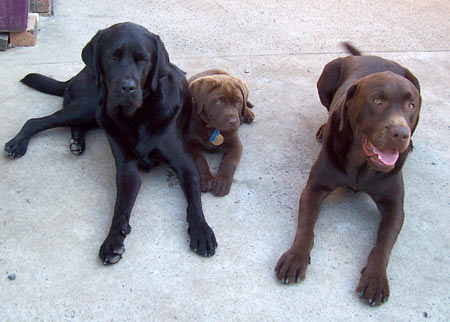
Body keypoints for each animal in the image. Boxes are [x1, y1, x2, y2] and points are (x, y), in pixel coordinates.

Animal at [4, 22, 217, 264]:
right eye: (112, 57)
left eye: (143, 59)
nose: (127, 87)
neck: (138, 116)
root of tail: (78, 73)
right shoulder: (126, 169)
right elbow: (119, 207)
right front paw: (113, 238)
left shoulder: (184, 162)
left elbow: (194, 203)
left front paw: (201, 231)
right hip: (90, 107)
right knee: (37, 121)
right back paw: (18, 144)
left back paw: (76, 141)